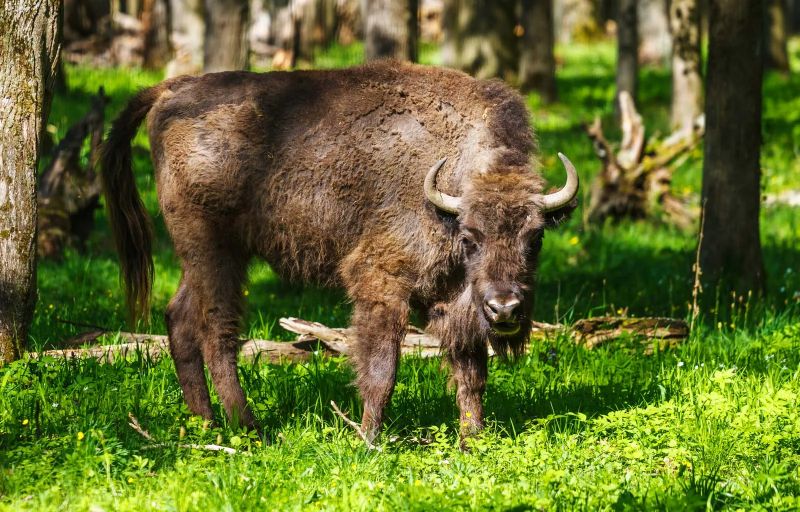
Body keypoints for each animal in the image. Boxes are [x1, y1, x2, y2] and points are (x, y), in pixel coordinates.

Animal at [103, 60, 580, 444]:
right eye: (470, 237)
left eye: (535, 237)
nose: (505, 308)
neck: (447, 190)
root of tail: (173, 89)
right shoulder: (380, 282)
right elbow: (382, 368)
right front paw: (368, 440)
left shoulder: (455, 301)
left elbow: (471, 372)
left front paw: (473, 440)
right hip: (214, 251)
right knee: (216, 330)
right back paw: (250, 428)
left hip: (204, 257)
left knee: (180, 319)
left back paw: (206, 424)